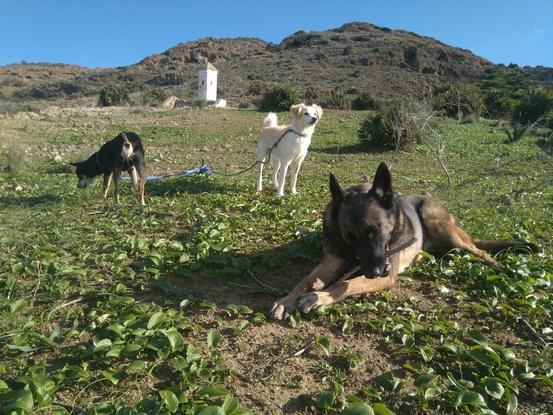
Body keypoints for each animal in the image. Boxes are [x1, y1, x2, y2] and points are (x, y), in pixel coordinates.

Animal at [270, 161, 536, 320]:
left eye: (376, 230)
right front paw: (286, 299)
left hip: (440, 225)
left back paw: (499, 265)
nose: (374, 272)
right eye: (349, 237)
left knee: (478, 250)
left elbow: (343, 284)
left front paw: (319, 297)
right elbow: (304, 281)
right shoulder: (331, 262)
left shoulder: (385, 276)